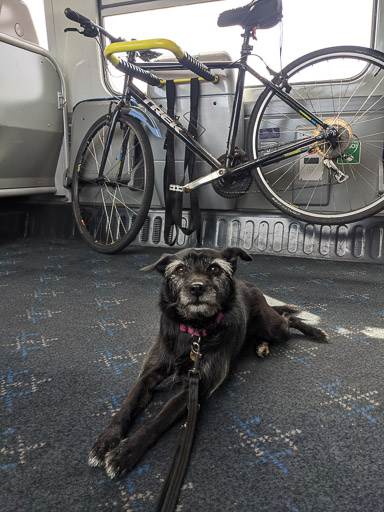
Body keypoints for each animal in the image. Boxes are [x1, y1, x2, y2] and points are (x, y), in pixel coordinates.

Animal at [89, 246, 328, 478]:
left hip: (273, 327)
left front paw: (126, 452)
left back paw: (315, 332)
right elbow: (127, 405)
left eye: (214, 269)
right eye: (180, 270)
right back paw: (262, 346)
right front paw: (106, 441)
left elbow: (158, 420)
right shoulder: (149, 374)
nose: (196, 288)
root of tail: (251, 285)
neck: (194, 329)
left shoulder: (197, 386)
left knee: (289, 318)